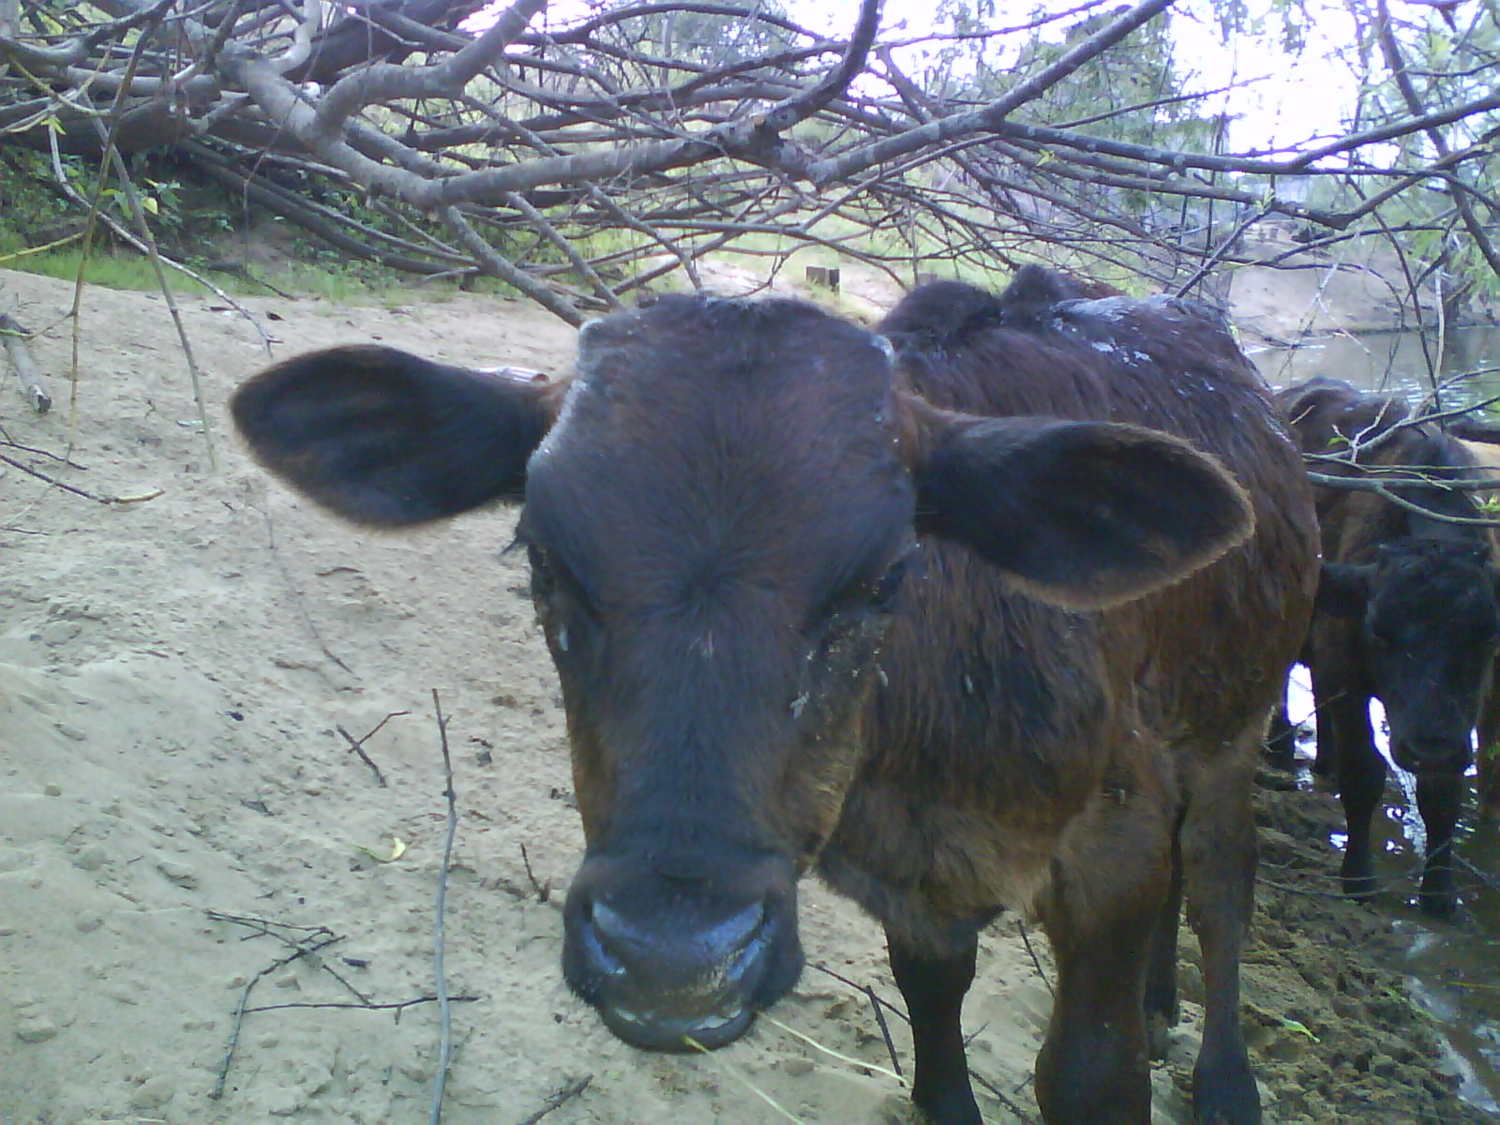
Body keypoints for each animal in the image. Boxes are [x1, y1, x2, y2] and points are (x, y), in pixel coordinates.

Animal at [228, 268, 1320, 1122]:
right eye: (541, 559)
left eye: (887, 577)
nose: (673, 963)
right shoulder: (909, 880)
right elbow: (936, 1029)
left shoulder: (1113, 834)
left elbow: (1092, 1072)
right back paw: (1161, 1001)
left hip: (1240, 714)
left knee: (1219, 881)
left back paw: (1224, 1079)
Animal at [1272, 379, 1500, 918]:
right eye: (1377, 628)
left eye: (1487, 633)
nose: (1428, 744)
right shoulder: (1346, 671)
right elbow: (1364, 773)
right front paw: (1359, 878)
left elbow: (1443, 791)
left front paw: (1439, 894)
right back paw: (1280, 752)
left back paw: (1322, 762)